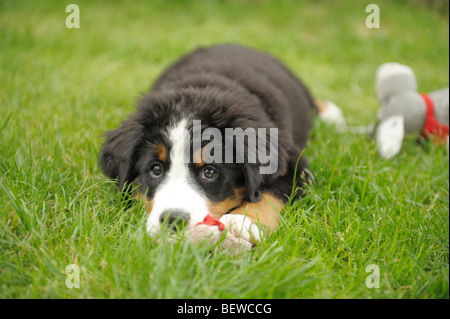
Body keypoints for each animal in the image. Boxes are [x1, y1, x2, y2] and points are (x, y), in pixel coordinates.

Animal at [99, 43, 316, 248]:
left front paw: (242, 222)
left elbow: (271, 193)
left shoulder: (294, 163)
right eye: (156, 169)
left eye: (209, 172)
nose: (173, 219)